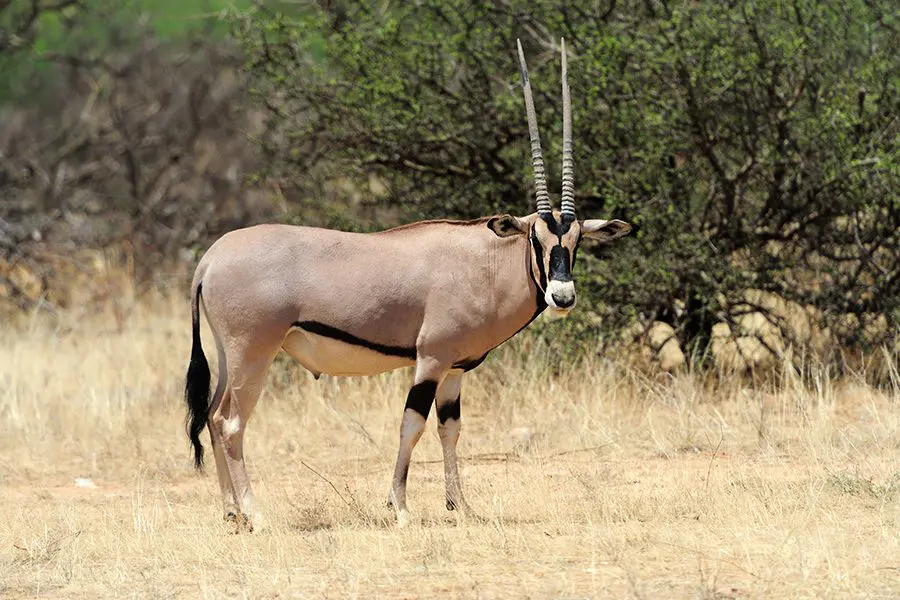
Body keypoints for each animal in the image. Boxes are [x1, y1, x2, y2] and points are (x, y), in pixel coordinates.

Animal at [183, 37, 632, 528]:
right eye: (537, 237)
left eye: (576, 240)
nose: (563, 295)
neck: (484, 261)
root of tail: (210, 260)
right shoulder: (431, 359)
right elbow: (411, 426)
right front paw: (399, 506)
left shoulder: (455, 369)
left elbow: (450, 429)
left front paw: (461, 506)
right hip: (254, 354)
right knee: (231, 422)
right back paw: (256, 515)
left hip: (230, 355)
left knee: (211, 416)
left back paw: (232, 513)